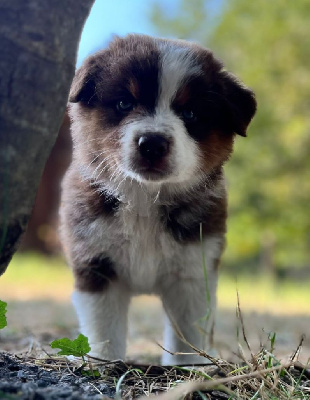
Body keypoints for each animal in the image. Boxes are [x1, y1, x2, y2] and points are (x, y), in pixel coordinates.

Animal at [59, 34, 256, 366]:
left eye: (190, 114)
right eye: (124, 103)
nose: (152, 144)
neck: (144, 200)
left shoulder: (193, 270)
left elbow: (189, 332)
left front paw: (191, 368)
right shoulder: (95, 264)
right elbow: (103, 327)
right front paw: (102, 362)